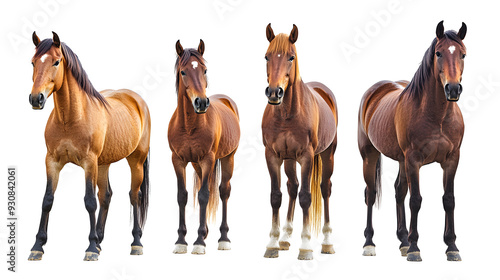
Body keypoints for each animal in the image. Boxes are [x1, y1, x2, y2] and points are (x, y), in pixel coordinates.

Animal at [27, 31, 150, 262]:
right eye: (32, 62)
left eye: (56, 61)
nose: (35, 99)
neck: (69, 119)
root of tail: (137, 100)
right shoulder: (52, 161)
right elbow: (47, 200)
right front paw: (37, 246)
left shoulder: (88, 163)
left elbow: (89, 201)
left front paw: (91, 247)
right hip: (104, 163)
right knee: (106, 195)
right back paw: (101, 240)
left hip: (135, 161)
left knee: (134, 195)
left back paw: (136, 243)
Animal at [168, 39, 240, 256]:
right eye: (183, 72)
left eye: (204, 70)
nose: (201, 102)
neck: (190, 126)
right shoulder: (178, 161)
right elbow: (183, 196)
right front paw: (181, 241)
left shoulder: (208, 159)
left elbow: (203, 196)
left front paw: (199, 241)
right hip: (198, 166)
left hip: (228, 159)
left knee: (223, 191)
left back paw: (223, 238)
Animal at [262, 24, 340, 260]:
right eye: (267, 56)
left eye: (291, 57)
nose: (274, 92)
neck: (287, 114)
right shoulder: (272, 156)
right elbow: (276, 196)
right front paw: (272, 243)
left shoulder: (306, 157)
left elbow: (306, 197)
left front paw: (305, 247)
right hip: (289, 160)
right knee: (293, 187)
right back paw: (285, 238)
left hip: (327, 155)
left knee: (324, 189)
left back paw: (327, 242)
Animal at [358, 20, 466, 262]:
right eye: (438, 53)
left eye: (463, 54)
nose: (453, 89)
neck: (437, 116)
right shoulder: (414, 160)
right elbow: (415, 200)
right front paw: (416, 248)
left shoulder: (451, 160)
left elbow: (449, 199)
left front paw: (452, 246)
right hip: (370, 155)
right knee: (370, 194)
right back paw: (369, 243)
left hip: (401, 160)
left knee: (399, 191)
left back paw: (403, 241)